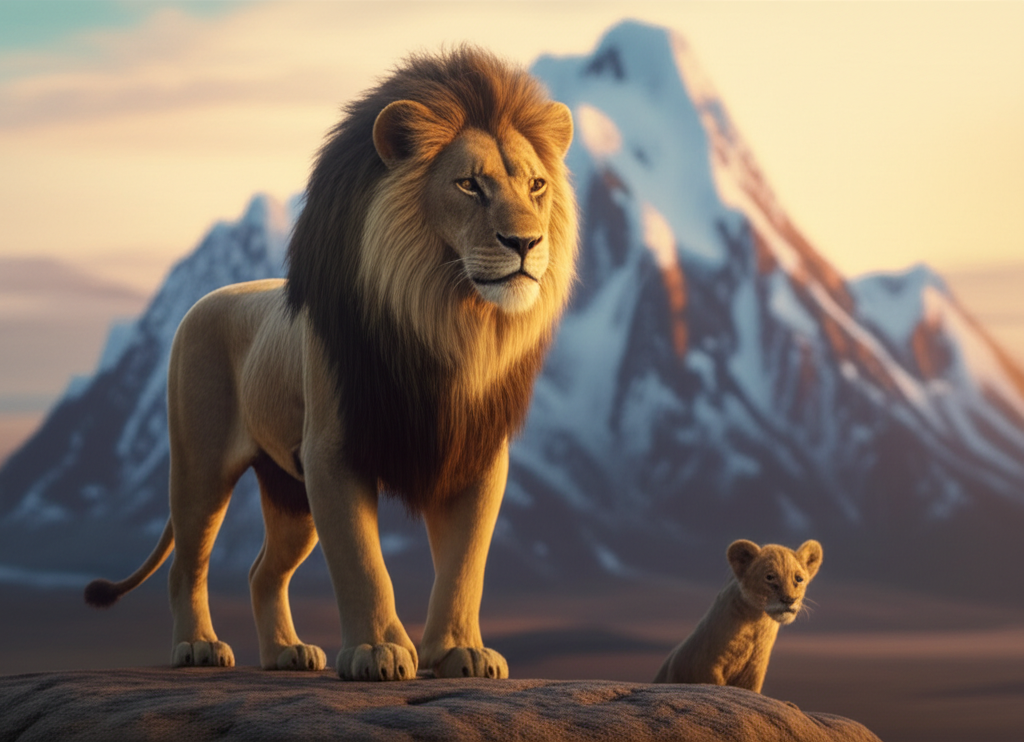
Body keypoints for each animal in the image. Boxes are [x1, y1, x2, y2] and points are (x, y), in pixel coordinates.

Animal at [84, 47, 577, 682]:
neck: (449, 323)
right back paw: (198, 646)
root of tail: (203, 301)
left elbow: (465, 564)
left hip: (290, 494)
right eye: (469, 184)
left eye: (537, 185)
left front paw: (460, 651)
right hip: (200, 467)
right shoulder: (333, 450)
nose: (526, 243)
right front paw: (378, 651)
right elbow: (362, 561)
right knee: (186, 565)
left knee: (261, 572)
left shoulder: (476, 454)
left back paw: (287, 653)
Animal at [653, 539, 823, 692]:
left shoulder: (754, 672)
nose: (789, 600)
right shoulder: (708, 668)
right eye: (770, 577)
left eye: (799, 579)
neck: (756, 625)